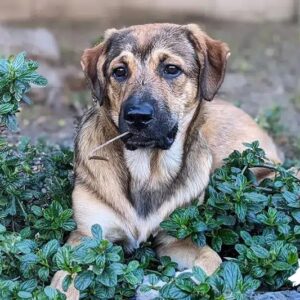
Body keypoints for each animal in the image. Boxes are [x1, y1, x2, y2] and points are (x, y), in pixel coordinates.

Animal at [51, 22, 282, 298]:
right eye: (119, 71)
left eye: (171, 69)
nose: (137, 116)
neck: (148, 169)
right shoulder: (86, 239)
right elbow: (65, 281)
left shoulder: (175, 236)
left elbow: (213, 257)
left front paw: (181, 280)